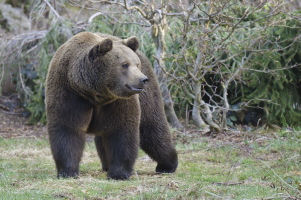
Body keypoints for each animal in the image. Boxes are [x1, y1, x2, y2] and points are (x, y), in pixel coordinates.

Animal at [44, 31, 178, 180]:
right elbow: (68, 128)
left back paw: (167, 165)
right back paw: (106, 164)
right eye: (125, 64)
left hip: (147, 95)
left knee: (153, 128)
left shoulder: (117, 100)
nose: (143, 79)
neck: (94, 92)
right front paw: (67, 172)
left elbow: (121, 130)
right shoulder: (69, 93)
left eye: (136, 64)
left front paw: (119, 173)